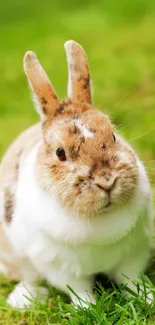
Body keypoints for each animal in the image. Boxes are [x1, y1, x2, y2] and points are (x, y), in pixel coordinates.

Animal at [0, 39, 153, 308]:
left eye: (114, 136)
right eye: (60, 153)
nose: (107, 181)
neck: (100, 218)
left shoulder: (134, 253)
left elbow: (133, 280)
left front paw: (149, 298)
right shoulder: (63, 270)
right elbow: (80, 291)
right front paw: (89, 307)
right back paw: (25, 298)